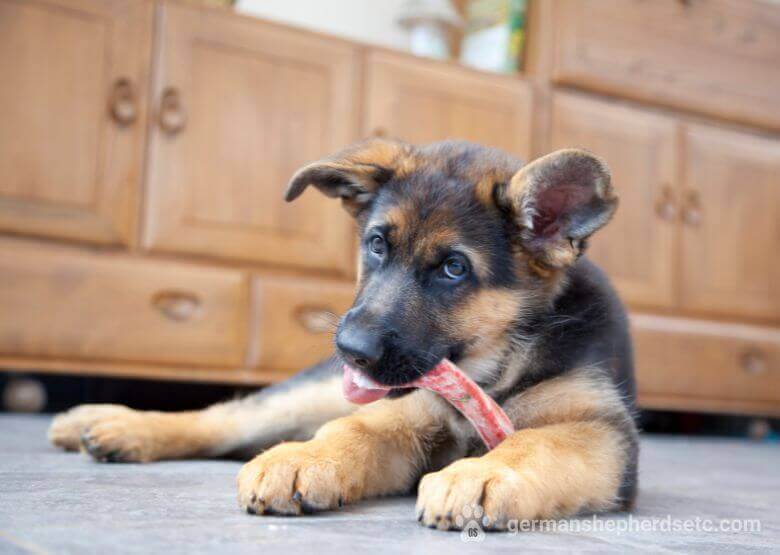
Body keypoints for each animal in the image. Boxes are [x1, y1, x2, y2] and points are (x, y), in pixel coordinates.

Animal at [48, 139, 636, 528]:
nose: (351, 351)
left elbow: (537, 443)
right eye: (376, 244)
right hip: (311, 395)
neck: (495, 366)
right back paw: (109, 424)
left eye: (453, 269)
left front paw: (481, 474)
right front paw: (304, 460)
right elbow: (352, 430)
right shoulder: (405, 414)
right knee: (225, 419)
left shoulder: (603, 433)